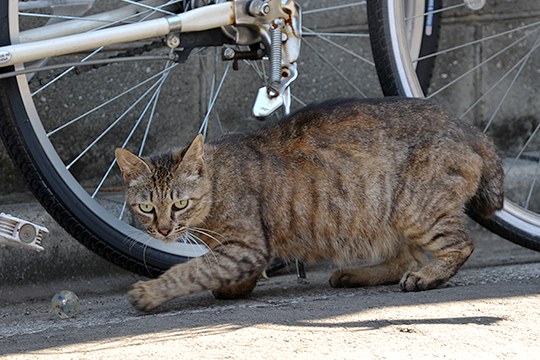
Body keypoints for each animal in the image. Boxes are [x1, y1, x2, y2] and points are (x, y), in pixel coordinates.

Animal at [116, 97, 504, 310]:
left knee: (459, 246)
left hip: (414, 209)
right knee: (405, 258)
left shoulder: (245, 246)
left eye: (179, 204)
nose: (163, 230)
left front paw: (150, 291)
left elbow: (189, 270)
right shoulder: (244, 251)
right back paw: (356, 274)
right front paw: (234, 288)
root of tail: (468, 128)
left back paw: (426, 277)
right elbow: (219, 271)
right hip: (383, 216)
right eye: (147, 208)